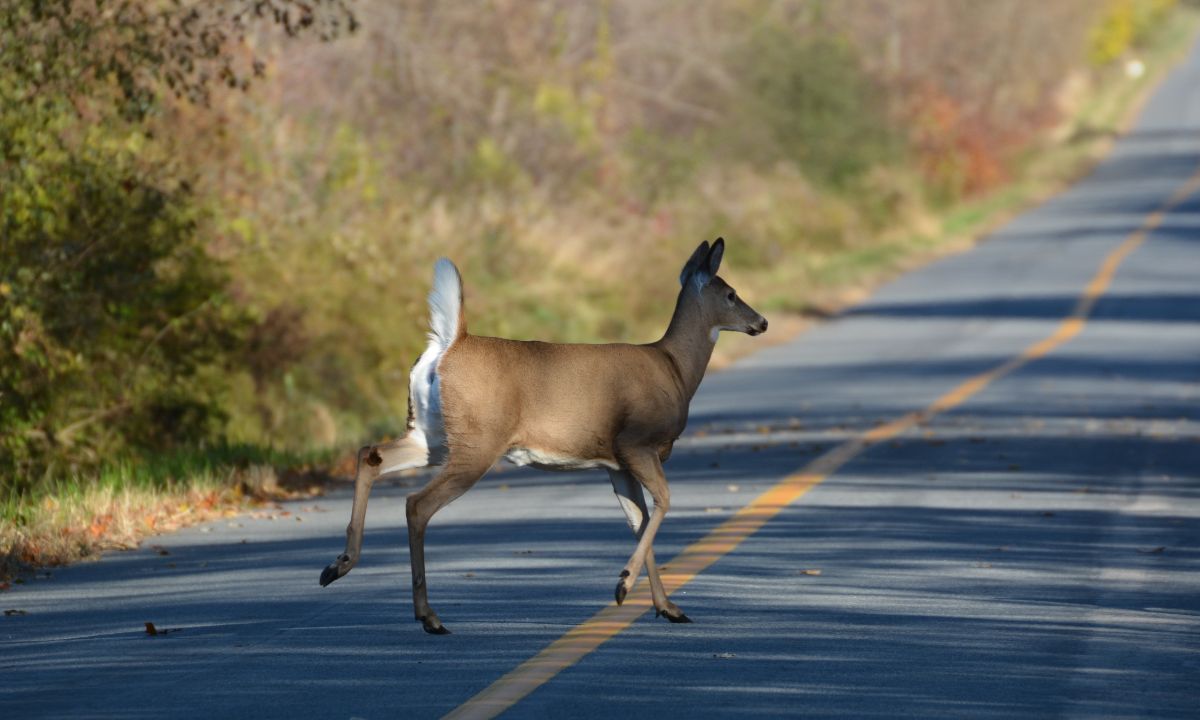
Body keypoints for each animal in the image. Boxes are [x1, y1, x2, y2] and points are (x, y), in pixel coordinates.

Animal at [321, 238, 768, 633]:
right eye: (730, 294)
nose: (761, 322)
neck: (674, 368)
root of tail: (451, 343)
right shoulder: (636, 442)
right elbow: (663, 503)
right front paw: (624, 586)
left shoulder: (616, 463)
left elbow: (638, 520)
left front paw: (667, 607)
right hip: (477, 442)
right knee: (417, 504)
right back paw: (428, 616)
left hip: (431, 435)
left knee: (370, 454)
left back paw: (337, 566)